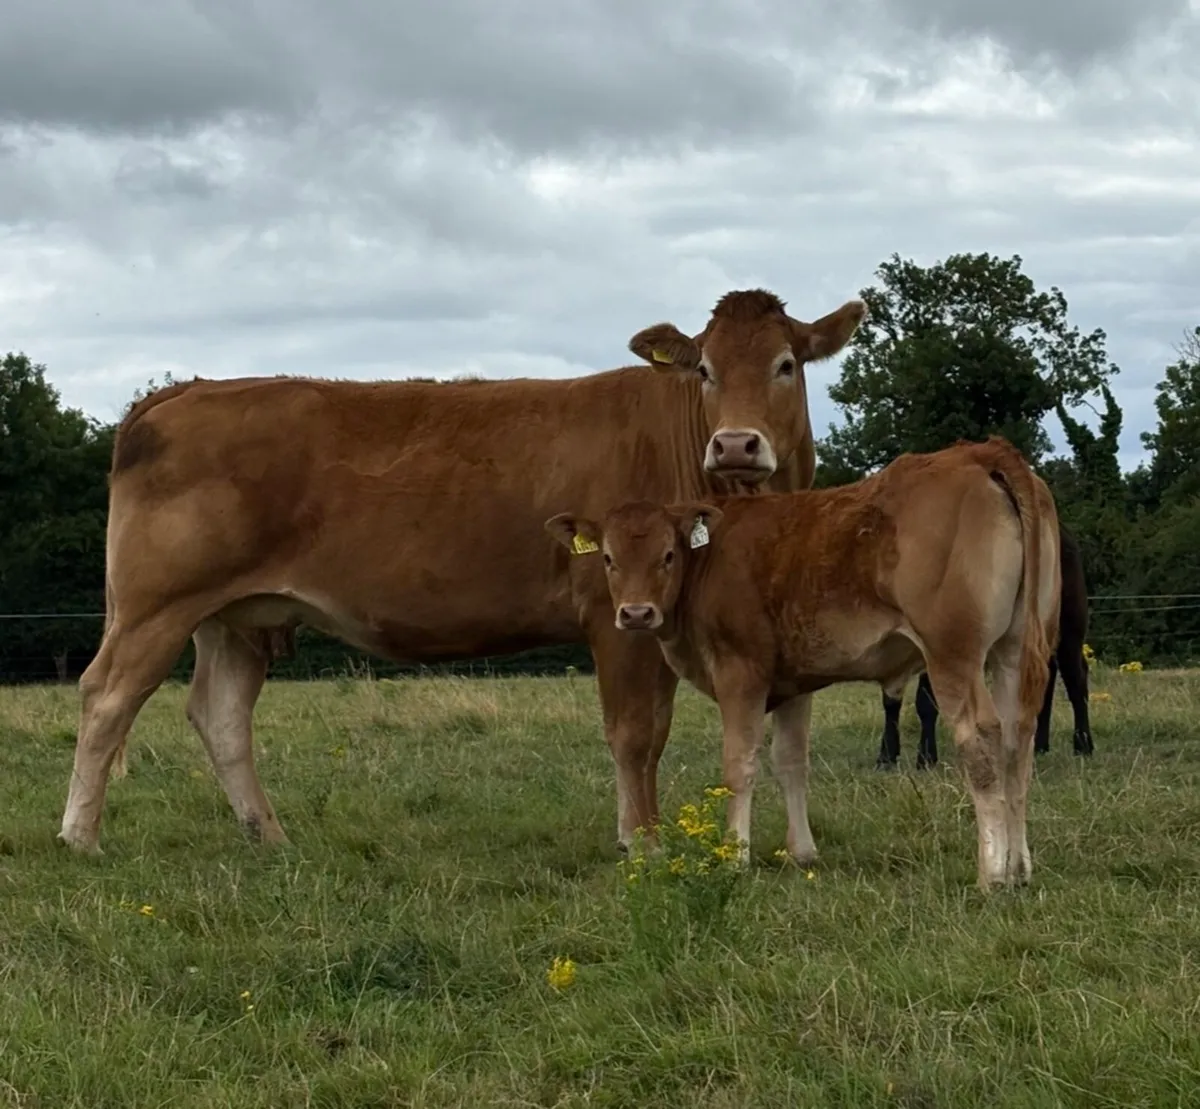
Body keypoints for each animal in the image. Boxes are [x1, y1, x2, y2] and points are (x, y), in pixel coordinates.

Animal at [56, 288, 867, 856]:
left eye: (786, 365)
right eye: (704, 369)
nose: (735, 444)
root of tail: (186, 389)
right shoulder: (620, 615)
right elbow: (638, 733)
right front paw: (644, 842)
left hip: (236, 615)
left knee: (220, 714)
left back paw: (270, 836)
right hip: (157, 604)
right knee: (107, 696)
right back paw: (80, 838)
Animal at [544, 437, 1060, 890]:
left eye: (668, 555)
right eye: (608, 558)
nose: (635, 614)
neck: (709, 559)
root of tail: (980, 452)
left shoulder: (741, 672)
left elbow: (739, 763)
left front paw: (734, 857)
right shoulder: (794, 681)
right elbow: (791, 761)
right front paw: (801, 852)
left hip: (953, 655)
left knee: (982, 739)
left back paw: (992, 873)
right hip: (1013, 650)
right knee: (1017, 739)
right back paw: (1019, 867)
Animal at [875, 524, 1093, 769]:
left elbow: (926, 702)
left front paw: (926, 758)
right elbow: (891, 701)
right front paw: (886, 757)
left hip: (1071, 627)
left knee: (1076, 678)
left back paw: (1083, 746)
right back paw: (1039, 747)